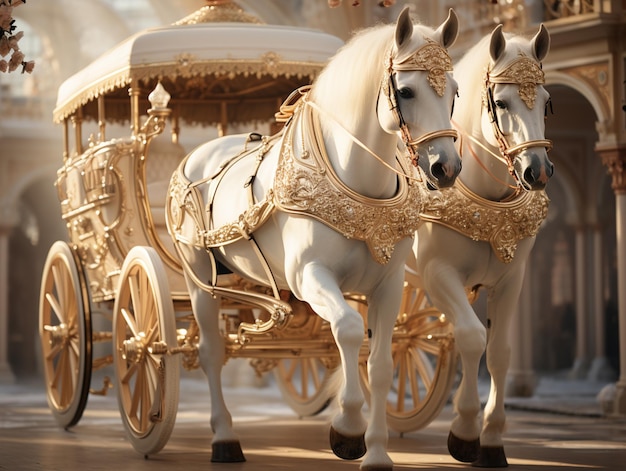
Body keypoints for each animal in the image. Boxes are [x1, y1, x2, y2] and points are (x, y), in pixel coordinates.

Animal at [168, 8, 460, 471]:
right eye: (406, 91)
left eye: (455, 92)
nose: (445, 168)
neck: (356, 182)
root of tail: (200, 152)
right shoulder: (310, 275)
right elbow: (349, 330)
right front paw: (348, 427)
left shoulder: (389, 284)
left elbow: (380, 363)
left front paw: (377, 452)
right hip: (200, 279)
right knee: (212, 351)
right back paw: (224, 438)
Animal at [414, 23, 552, 468]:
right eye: (502, 102)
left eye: (547, 102)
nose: (538, 171)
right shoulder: (436, 274)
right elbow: (472, 338)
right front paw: (464, 430)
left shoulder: (512, 279)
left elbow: (500, 352)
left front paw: (491, 438)